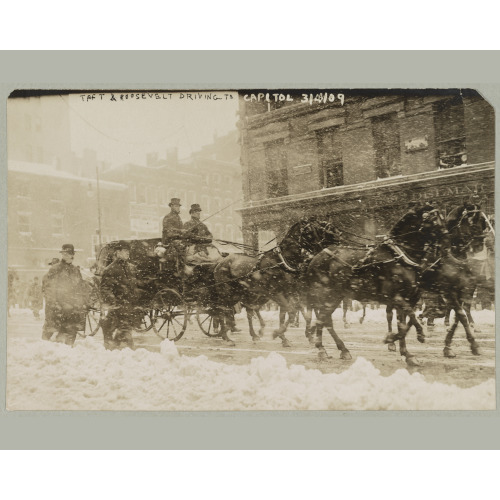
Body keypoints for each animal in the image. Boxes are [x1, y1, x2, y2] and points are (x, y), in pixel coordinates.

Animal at [213, 219, 342, 348]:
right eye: (318, 227)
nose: (339, 235)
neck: (282, 262)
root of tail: (220, 263)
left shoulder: (290, 292)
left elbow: (288, 314)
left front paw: (285, 337)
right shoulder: (277, 293)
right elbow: (292, 312)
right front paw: (279, 334)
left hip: (241, 294)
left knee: (244, 310)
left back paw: (250, 334)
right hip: (228, 292)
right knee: (222, 309)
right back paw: (226, 336)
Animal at [304, 203, 446, 368]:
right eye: (433, 220)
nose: (446, 235)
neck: (400, 257)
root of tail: (316, 257)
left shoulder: (408, 299)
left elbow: (405, 324)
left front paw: (405, 352)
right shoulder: (396, 298)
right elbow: (410, 318)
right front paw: (414, 336)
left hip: (336, 296)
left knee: (325, 319)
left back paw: (340, 349)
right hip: (327, 295)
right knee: (323, 319)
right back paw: (322, 349)